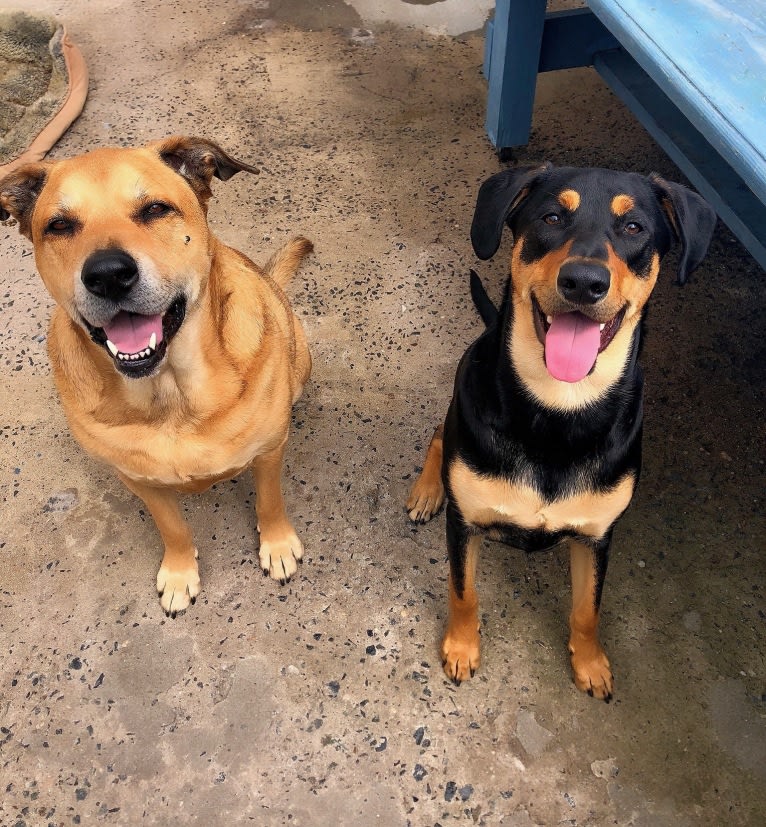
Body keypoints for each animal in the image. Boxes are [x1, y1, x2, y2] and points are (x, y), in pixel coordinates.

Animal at [0, 136, 312, 616]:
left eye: (155, 209)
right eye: (59, 225)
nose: (108, 275)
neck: (171, 398)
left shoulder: (270, 450)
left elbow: (270, 501)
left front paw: (276, 545)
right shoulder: (140, 481)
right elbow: (174, 529)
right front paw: (180, 573)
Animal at [412, 165, 716, 700]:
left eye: (634, 228)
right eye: (552, 217)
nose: (583, 282)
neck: (558, 409)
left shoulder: (598, 537)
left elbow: (587, 609)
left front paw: (590, 663)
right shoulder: (464, 524)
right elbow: (463, 591)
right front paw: (462, 648)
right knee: (437, 435)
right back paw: (428, 490)